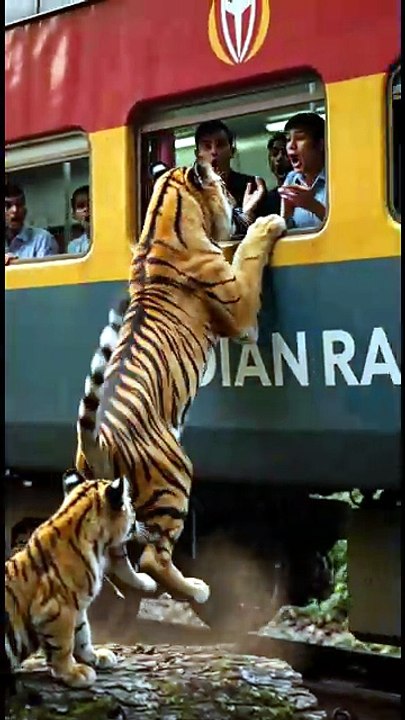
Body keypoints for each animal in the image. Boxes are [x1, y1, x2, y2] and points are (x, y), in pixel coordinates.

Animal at [5, 471, 137, 689]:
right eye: (131, 506)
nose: (138, 522)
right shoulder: (57, 607)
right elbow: (64, 643)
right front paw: (72, 673)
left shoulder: (78, 606)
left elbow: (82, 634)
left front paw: (95, 657)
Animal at [74, 160, 286, 606]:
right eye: (223, 184)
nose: (238, 198)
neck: (164, 216)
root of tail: (95, 440)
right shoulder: (242, 312)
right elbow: (248, 254)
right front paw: (267, 224)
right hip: (173, 476)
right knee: (154, 555)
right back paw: (194, 589)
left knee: (117, 558)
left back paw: (143, 586)